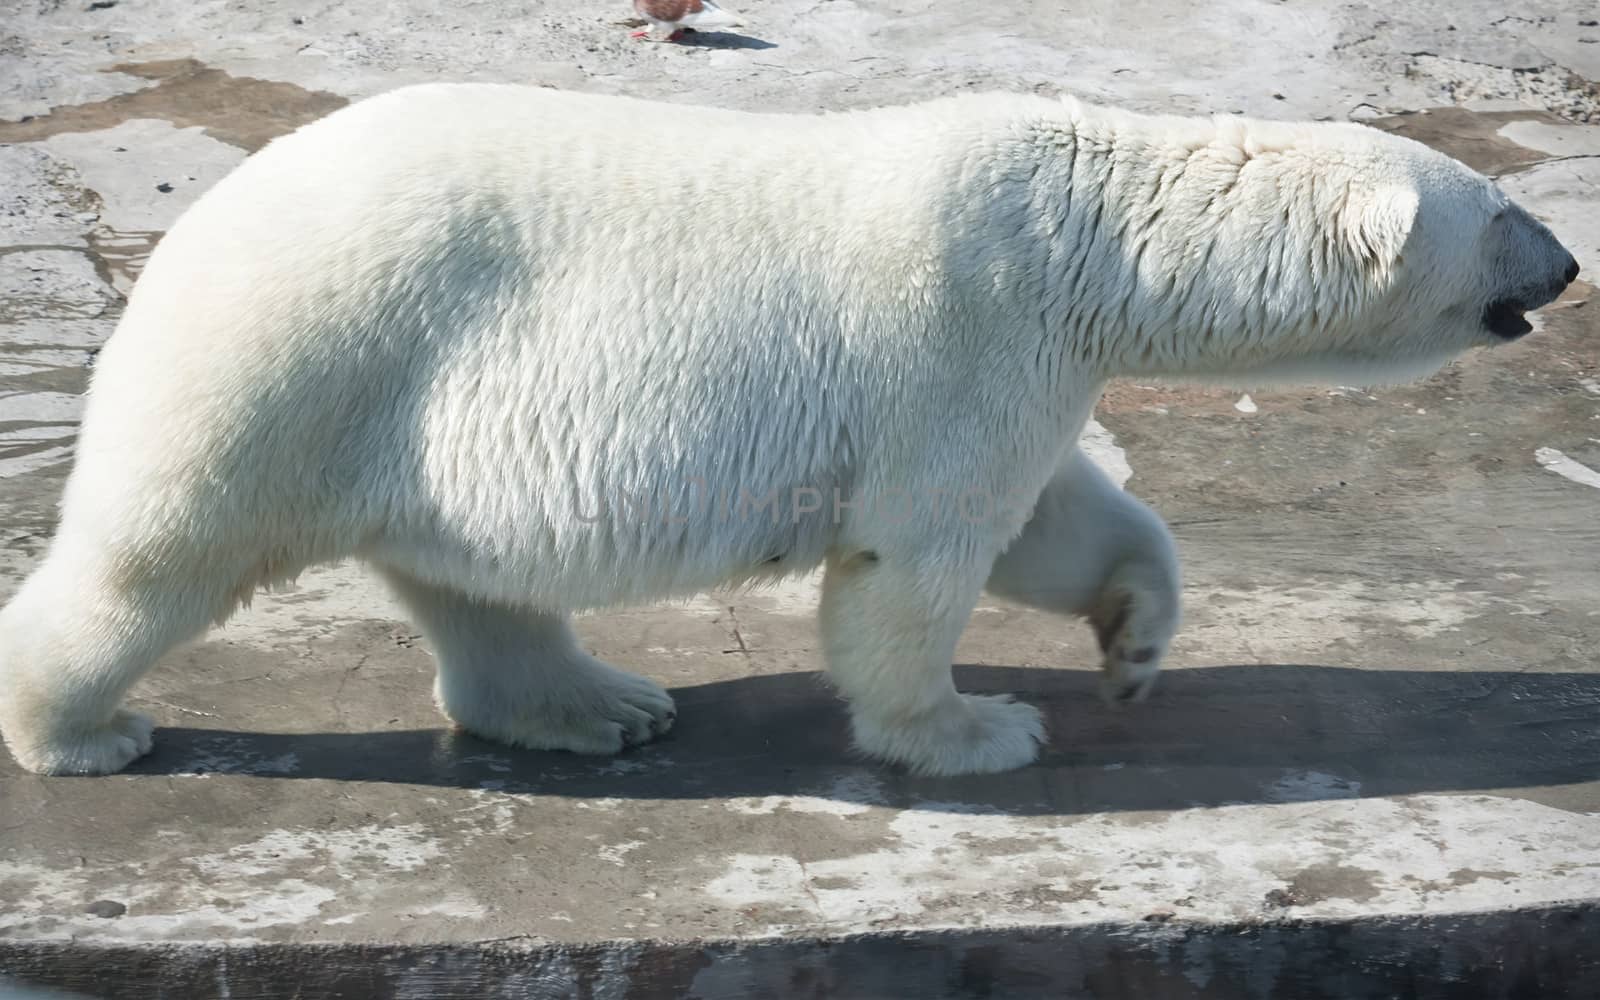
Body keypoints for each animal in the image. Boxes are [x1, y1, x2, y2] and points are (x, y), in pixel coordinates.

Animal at [0, 85, 1574, 777]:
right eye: (1504, 209)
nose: (1566, 266)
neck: (1089, 235)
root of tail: (201, 220)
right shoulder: (962, 324)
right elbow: (919, 559)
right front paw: (971, 730)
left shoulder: (1031, 355)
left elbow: (1060, 520)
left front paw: (1133, 645)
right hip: (312, 348)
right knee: (157, 553)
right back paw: (82, 730)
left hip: (405, 404)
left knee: (475, 582)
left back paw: (597, 705)